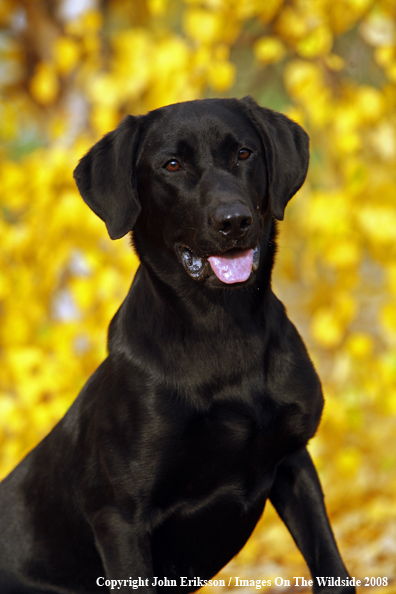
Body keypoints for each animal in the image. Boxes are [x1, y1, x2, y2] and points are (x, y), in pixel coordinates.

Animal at [0, 97, 352, 592]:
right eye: (171, 165)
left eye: (244, 153)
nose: (234, 221)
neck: (222, 329)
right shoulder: (120, 516)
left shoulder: (293, 463)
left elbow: (332, 566)